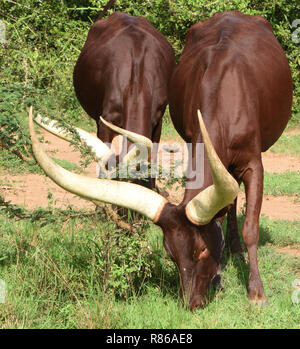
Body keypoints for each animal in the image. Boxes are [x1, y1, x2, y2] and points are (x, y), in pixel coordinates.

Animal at [28, 10, 292, 310]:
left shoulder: (253, 163)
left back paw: (236, 249)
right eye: (170, 253)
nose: (192, 303)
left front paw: (256, 292)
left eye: (202, 250)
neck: (225, 95)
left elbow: (251, 228)